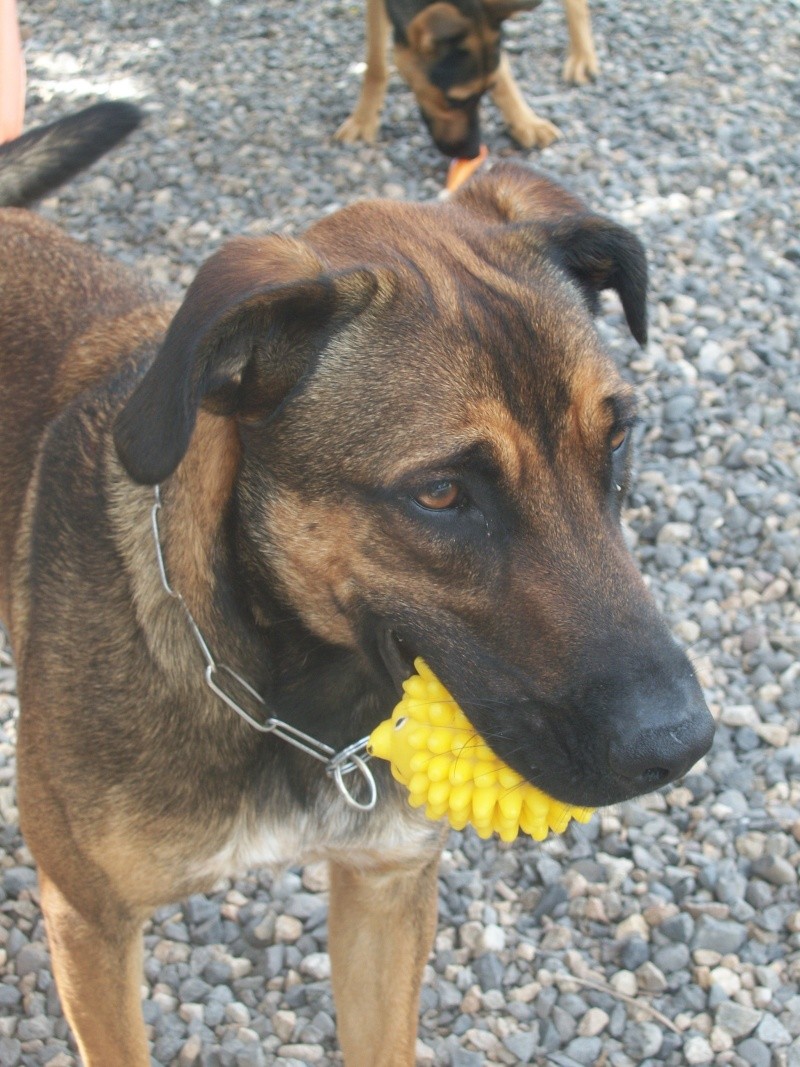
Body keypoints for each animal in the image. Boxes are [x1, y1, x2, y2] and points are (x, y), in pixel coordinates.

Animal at [0, 101, 712, 1067]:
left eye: (619, 441)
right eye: (441, 493)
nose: (680, 745)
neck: (288, 696)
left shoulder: (385, 888)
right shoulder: (89, 923)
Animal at [334, 0, 597, 156]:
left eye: (487, 89)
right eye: (453, 100)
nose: (472, 153)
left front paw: (524, 120)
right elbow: (376, 63)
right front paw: (364, 119)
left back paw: (583, 55)